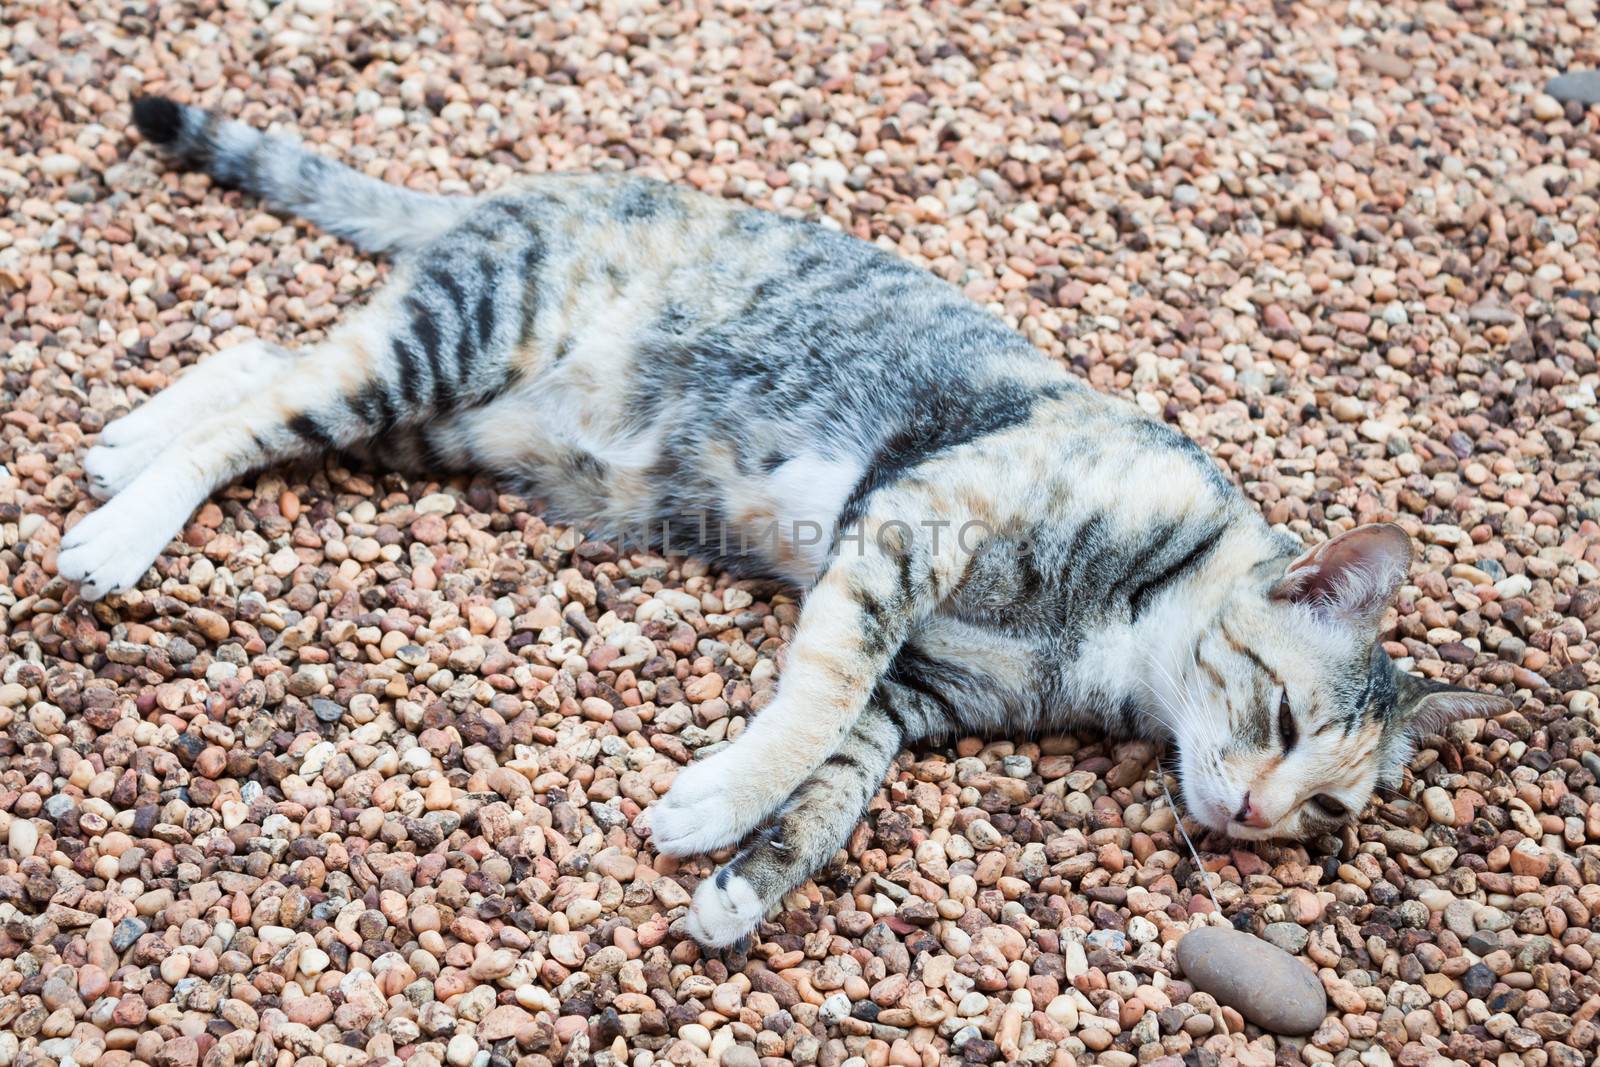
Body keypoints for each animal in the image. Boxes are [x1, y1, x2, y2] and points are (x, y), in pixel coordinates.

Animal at [65, 97, 1510, 953]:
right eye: (1283, 719)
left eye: (1331, 810)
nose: (1259, 816)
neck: (1124, 642)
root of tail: (516, 189)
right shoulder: (912, 523)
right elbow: (813, 701)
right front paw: (714, 799)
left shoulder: (918, 697)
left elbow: (832, 791)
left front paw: (738, 883)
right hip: (450, 346)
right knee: (268, 400)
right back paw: (120, 528)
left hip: (445, 414)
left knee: (262, 359)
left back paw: (125, 442)